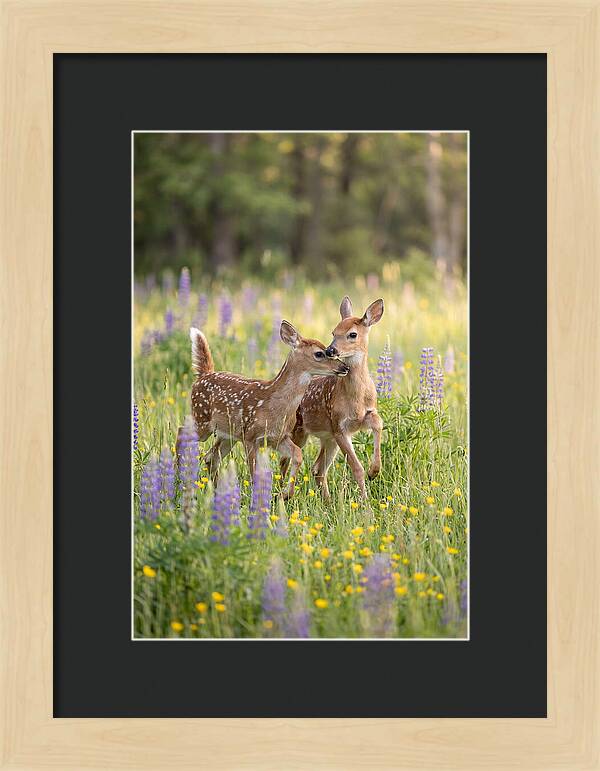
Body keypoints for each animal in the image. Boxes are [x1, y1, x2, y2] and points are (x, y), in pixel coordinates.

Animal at [179, 321, 349, 496]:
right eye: (319, 353)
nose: (344, 367)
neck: (274, 405)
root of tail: (203, 375)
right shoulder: (250, 436)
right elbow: (254, 473)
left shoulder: (278, 437)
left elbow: (297, 454)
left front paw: (285, 494)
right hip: (202, 419)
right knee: (181, 432)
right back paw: (179, 475)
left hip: (228, 434)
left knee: (211, 457)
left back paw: (215, 490)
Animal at [284, 297, 384, 501]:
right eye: (333, 332)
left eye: (352, 334)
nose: (331, 350)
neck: (356, 398)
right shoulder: (339, 427)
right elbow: (357, 468)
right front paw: (365, 501)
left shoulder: (365, 415)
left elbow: (379, 423)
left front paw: (374, 471)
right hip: (298, 431)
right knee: (285, 461)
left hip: (327, 438)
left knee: (317, 469)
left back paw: (328, 501)